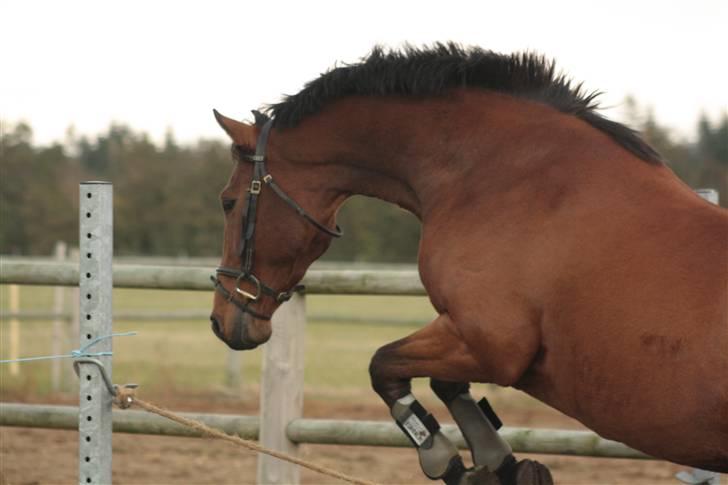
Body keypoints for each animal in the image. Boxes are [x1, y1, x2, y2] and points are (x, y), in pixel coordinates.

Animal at [208, 43, 728, 482]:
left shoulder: (491, 343)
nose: (223, 320)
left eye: (229, 202)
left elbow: (385, 368)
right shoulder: (467, 338)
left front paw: (448, 461)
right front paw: (499, 464)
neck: (504, 178)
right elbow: (445, 384)